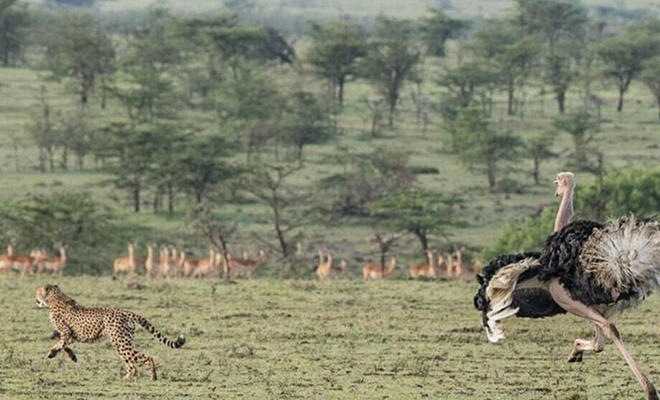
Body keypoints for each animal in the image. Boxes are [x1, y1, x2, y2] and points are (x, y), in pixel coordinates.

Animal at [37, 282, 184, 380]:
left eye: (37, 292)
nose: (36, 299)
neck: (54, 298)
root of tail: (124, 311)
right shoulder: (72, 335)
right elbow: (64, 345)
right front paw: (71, 356)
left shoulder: (66, 332)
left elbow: (60, 343)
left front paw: (51, 353)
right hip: (121, 342)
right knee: (132, 366)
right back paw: (127, 378)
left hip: (120, 342)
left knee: (146, 358)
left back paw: (152, 377)